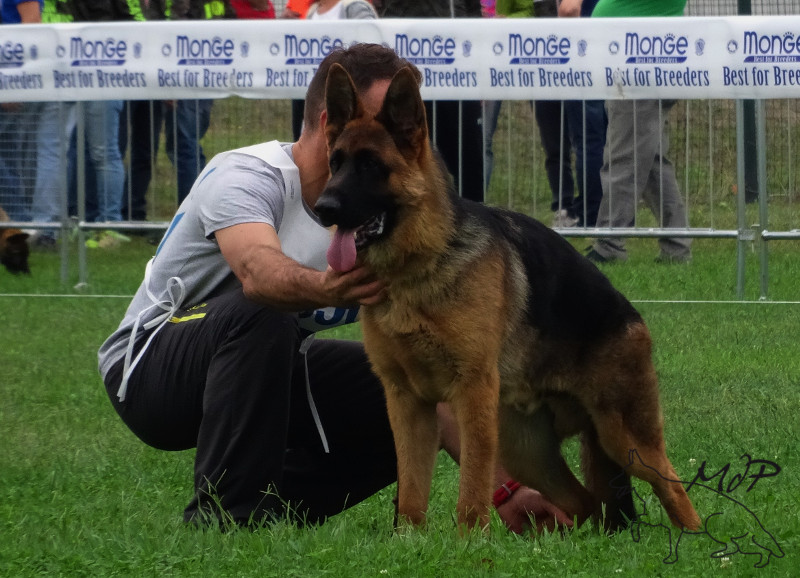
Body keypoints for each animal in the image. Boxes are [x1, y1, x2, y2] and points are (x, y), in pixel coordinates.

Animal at [315, 63, 701, 533]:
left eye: (371, 165)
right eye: (335, 163)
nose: (323, 208)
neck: (423, 261)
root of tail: (632, 317)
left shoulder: (473, 393)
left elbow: (472, 487)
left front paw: (468, 542)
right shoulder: (406, 404)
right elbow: (410, 493)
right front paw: (409, 541)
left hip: (625, 439)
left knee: (674, 489)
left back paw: (697, 541)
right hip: (526, 451)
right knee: (587, 502)